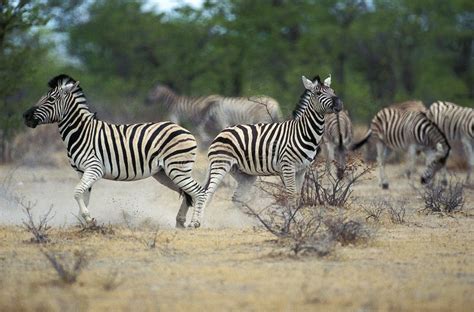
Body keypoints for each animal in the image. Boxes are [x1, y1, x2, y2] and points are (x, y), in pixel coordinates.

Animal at [22, 74, 204, 228]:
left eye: (51, 98)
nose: (25, 116)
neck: (81, 132)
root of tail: (184, 129)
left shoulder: (94, 168)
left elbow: (77, 192)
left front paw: (88, 219)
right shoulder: (81, 171)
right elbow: (84, 196)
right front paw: (83, 223)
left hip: (177, 168)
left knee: (198, 191)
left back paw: (195, 223)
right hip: (164, 173)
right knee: (187, 193)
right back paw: (180, 222)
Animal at [187, 74, 342, 228]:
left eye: (333, 91)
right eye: (318, 93)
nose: (339, 104)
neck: (302, 132)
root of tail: (223, 131)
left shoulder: (301, 169)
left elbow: (297, 195)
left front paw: (296, 220)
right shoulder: (288, 167)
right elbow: (291, 194)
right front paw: (294, 220)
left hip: (244, 174)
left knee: (237, 198)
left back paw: (246, 220)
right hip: (221, 165)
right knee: (207, 193)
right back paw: (198, 222)